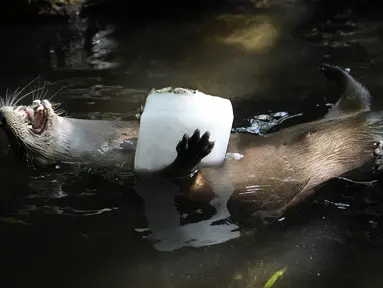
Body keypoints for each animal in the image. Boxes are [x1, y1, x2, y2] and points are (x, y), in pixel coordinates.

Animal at [0, 63, 382, 220]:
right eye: (17, 148)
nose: (3, 119)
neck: (109, 141)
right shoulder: (140, 176)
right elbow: (177, 178)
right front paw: (191, 149)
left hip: (342, 115)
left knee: (357, 97)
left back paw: (336, 73)